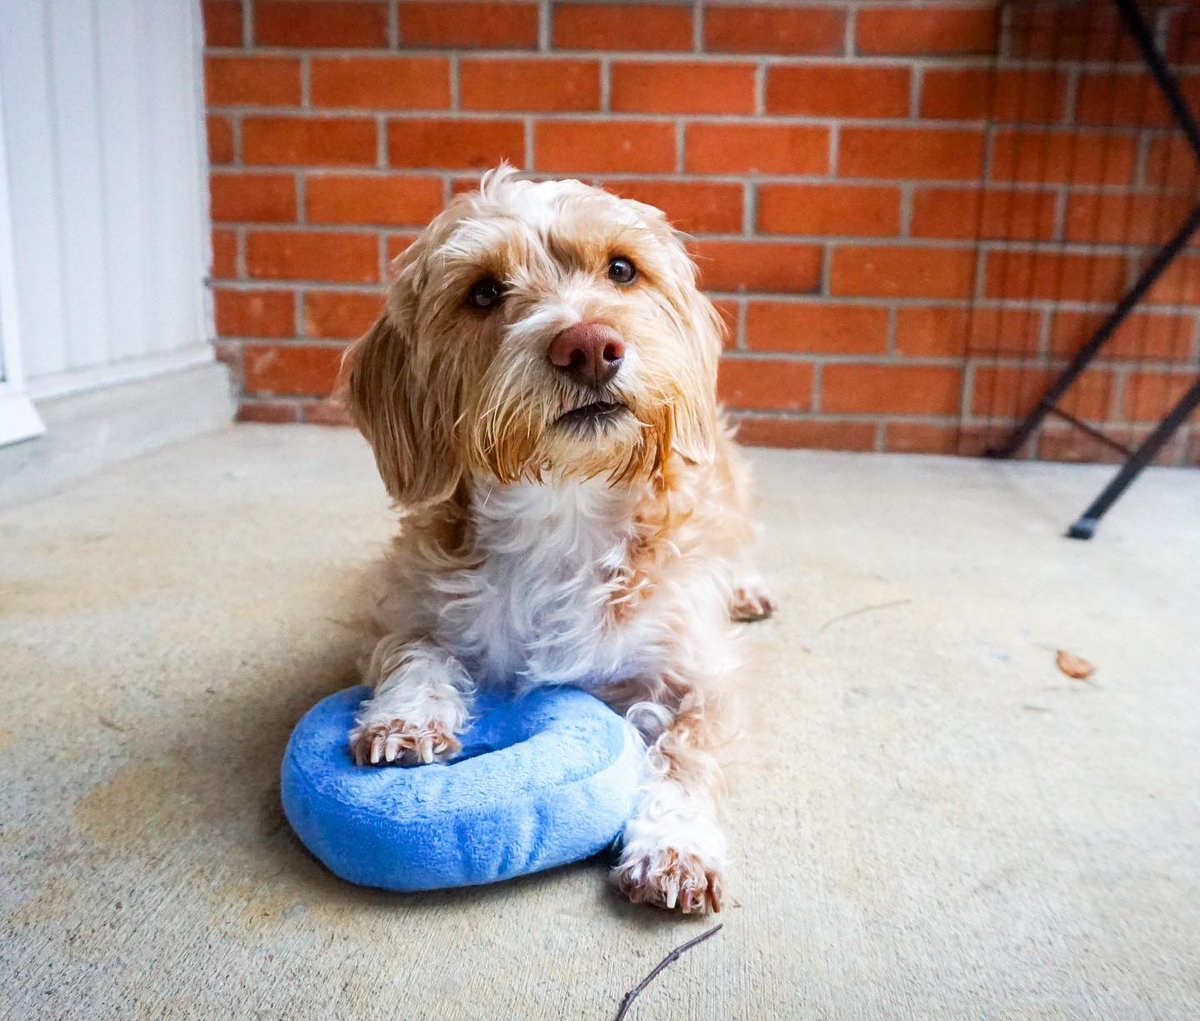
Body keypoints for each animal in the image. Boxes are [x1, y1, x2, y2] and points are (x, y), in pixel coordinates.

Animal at [338, 163, 772, 916]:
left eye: (622, 269)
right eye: (483, 291)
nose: (590, 345)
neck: (562, 505)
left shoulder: (698, 674)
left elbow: (684, 754)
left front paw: (675, 845)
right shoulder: (408, 605)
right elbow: (416, 650)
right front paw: (405, 717)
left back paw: (745, 585)